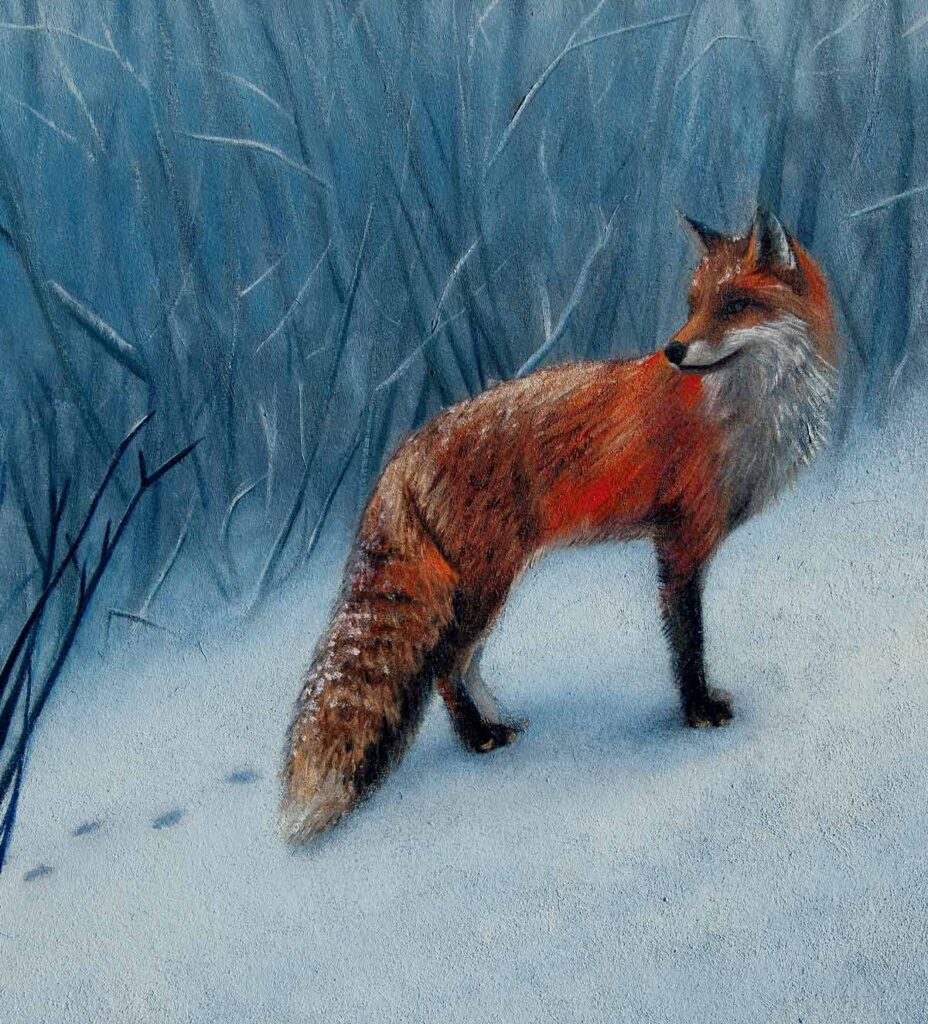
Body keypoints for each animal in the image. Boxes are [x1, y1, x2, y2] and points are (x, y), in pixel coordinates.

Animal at [280, 208, 839, 842]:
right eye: (693, 303)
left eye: (733, 305)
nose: (673, 350)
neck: (742, 410)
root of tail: (406, 450)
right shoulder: (679, 543)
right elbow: (688, 643)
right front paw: (697, 713)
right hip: (485, 584)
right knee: (444, 667)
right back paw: (478, 740)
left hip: (488, 586)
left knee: (467, 662)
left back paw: (499, 721)